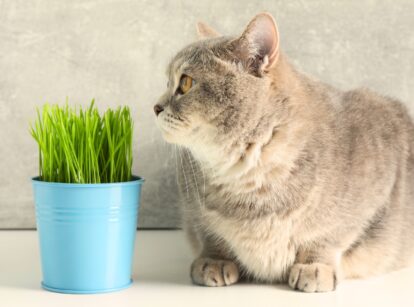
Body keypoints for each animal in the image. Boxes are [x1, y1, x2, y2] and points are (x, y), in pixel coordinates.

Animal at [153, 13, 414, 294]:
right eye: (167, 82)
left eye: (186, 83)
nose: (155, 107)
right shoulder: (194, 209)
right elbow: (211, 235)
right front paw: (215, 260)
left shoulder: (370, 193)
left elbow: (329, 236)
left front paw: (314, 266)